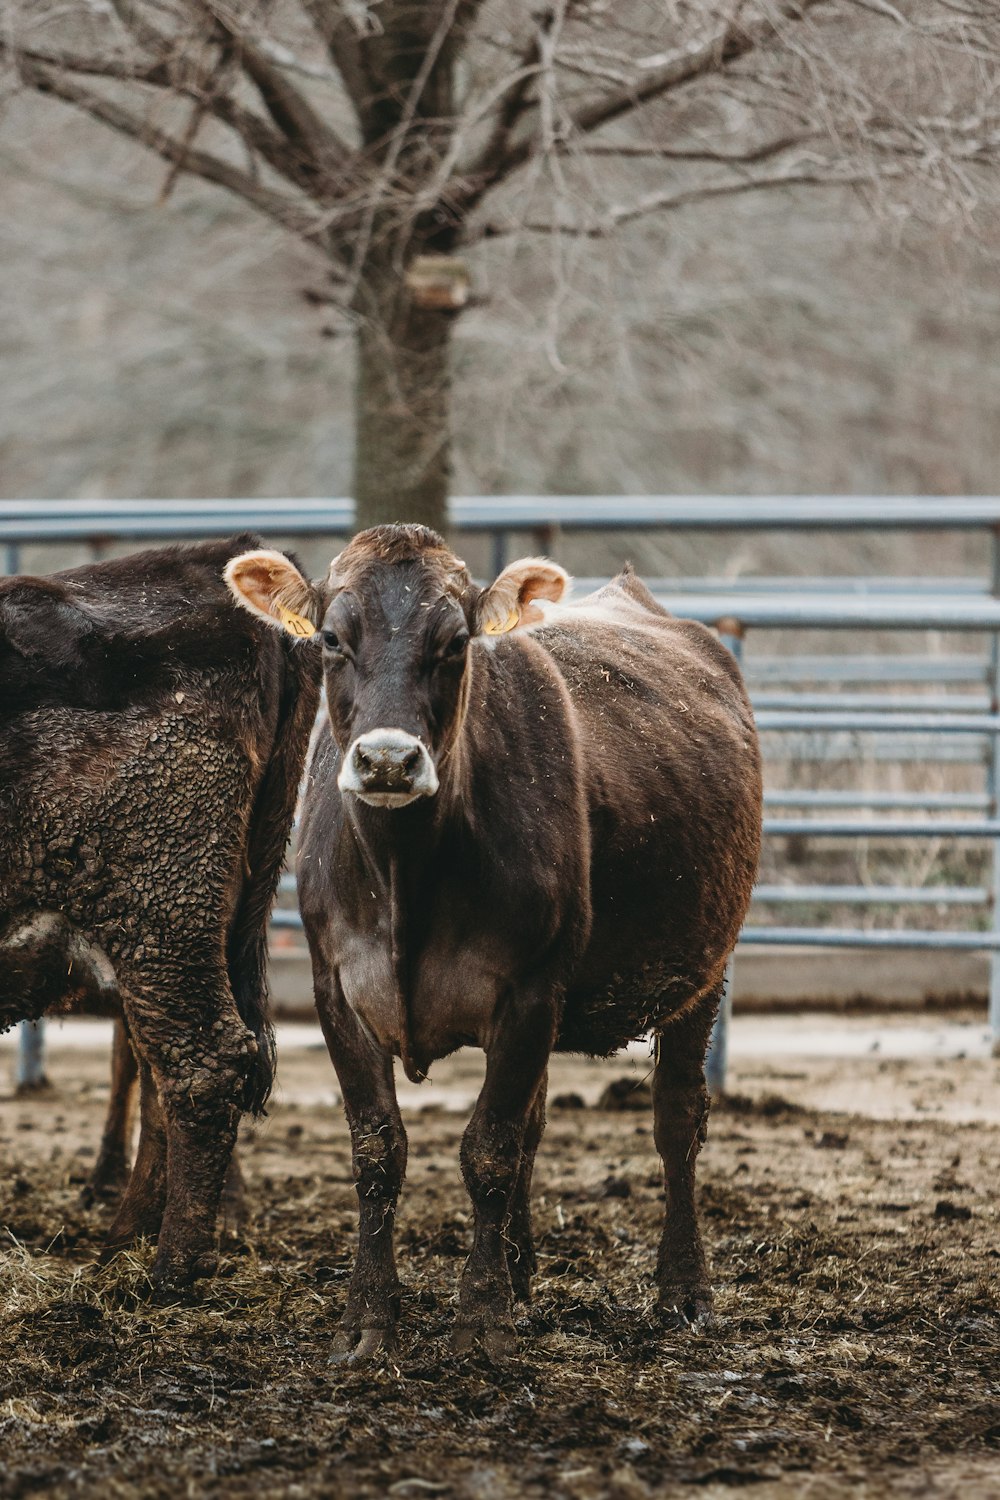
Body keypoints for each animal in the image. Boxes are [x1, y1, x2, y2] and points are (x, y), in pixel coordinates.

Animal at [224, 528, 758, 1362]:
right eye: (332, 639)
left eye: (455, 642)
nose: (387, 760)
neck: (405, 876)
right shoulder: (335, 989)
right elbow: (380, 1151)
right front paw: (370, 1318)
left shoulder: (531, 991)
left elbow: (489, 1151)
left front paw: (481, 1320)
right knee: (537, 1126)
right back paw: (525, 1283)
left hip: (703, 972)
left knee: (676, 1120)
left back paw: (682, 1292)